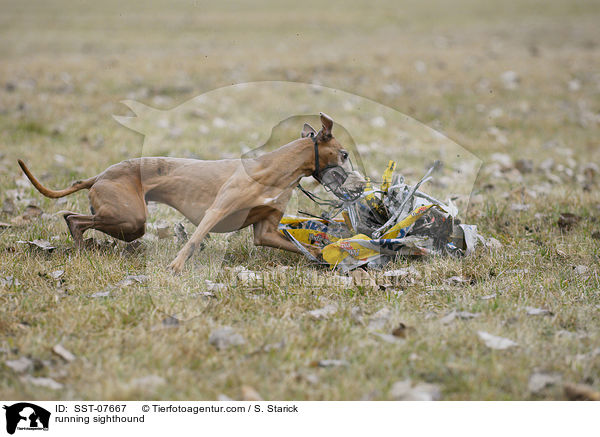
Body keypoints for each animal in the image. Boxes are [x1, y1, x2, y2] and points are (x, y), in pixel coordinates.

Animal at [18, 111, 364, 272]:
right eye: (345, 154)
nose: (362, 185)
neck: (277, 170)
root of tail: (102, 174)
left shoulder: (265, 231)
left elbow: (301, 245)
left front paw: (325, 256)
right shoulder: (216, 211)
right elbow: (195, 239)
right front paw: (175, 268)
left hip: (125, 220)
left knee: (73, 217)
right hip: (130, 218)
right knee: (74, 218)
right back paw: (81, 245)